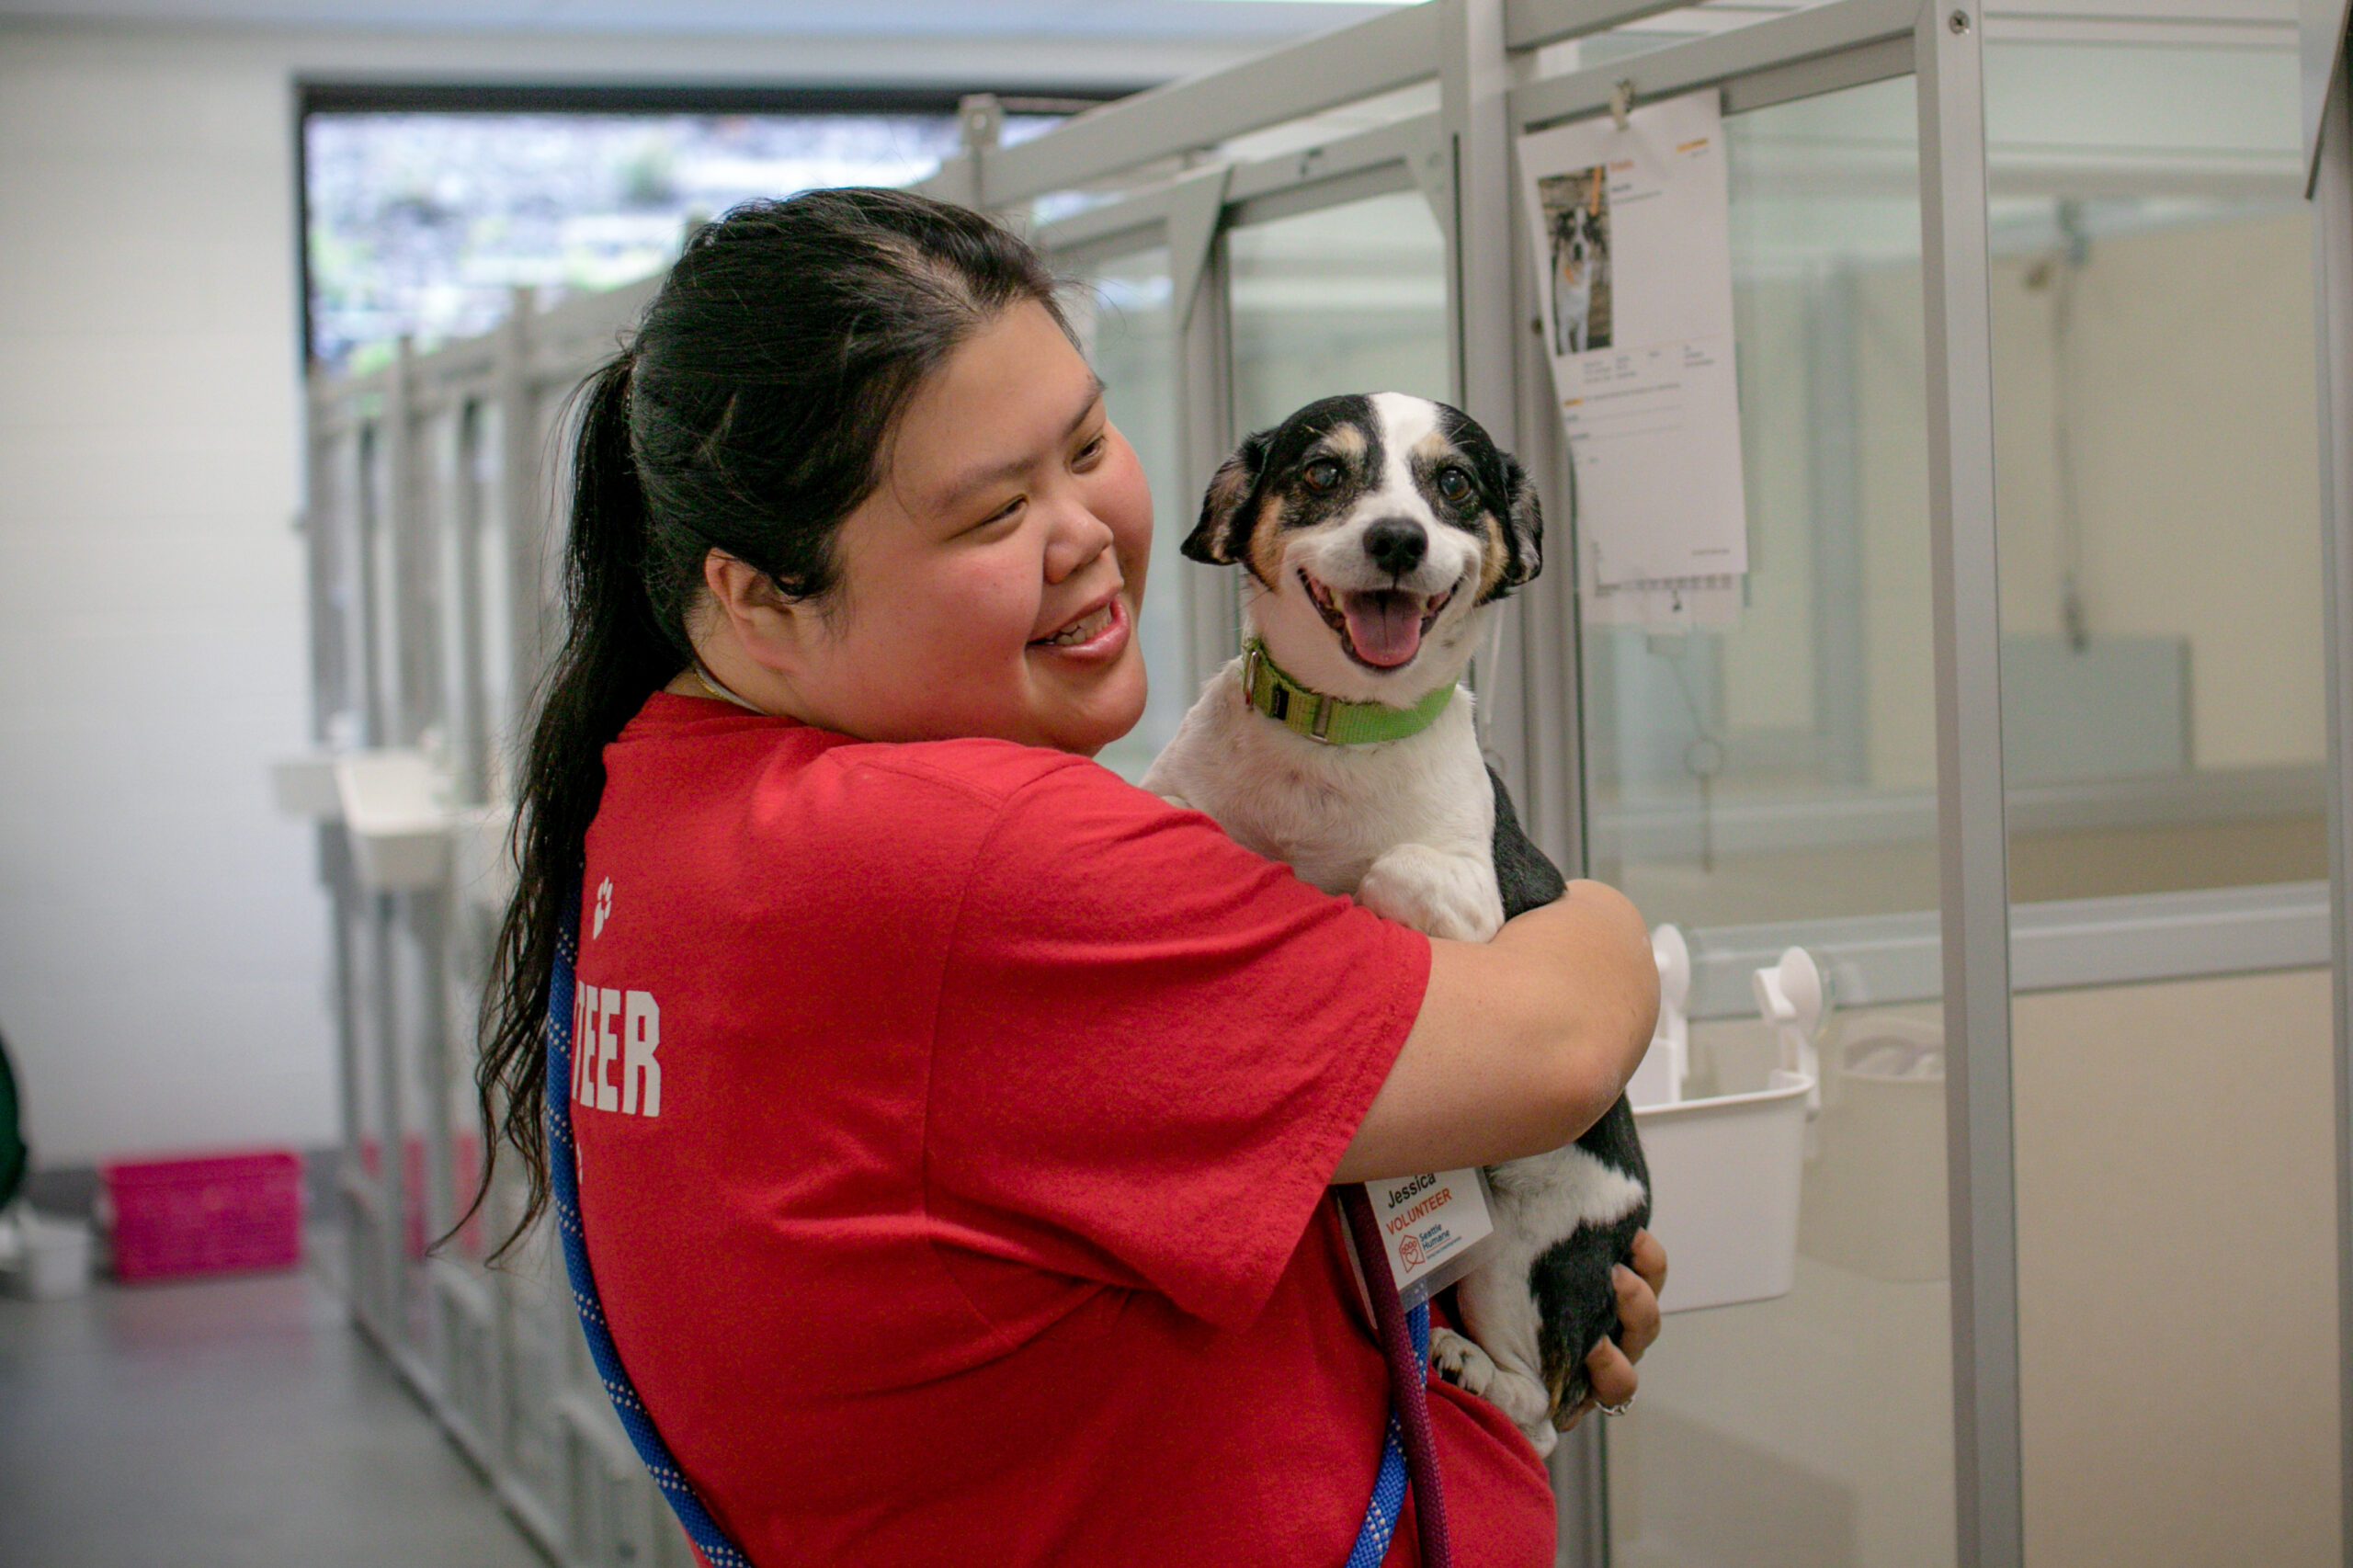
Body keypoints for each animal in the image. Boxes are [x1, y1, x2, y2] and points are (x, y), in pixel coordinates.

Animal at [1143, 391, 1656, 1449]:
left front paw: (1322, 888)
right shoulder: (1177, 793)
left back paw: (1469, 1363)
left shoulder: (1470, 893)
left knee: (1534, 1413)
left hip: (1523, 1243)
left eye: (1453, 484)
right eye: (1323, 473)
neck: (1337, 732)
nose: (1396, 537)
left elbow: (1386, 870)